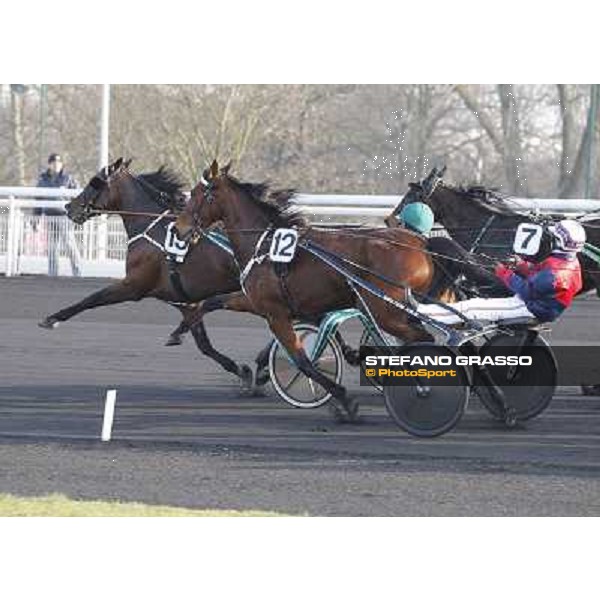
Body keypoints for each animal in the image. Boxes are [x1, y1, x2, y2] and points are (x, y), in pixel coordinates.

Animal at [37, 156, 253, 390]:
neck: (150, 228)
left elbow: (92, 298)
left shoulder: (134, 286)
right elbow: (203, 342)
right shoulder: (185, 301)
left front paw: (52, 319)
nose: (69, 207)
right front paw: (242, 371)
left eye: (95, 182)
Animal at [173, 159, 436, 422]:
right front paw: (179, 331)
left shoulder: (275, 313)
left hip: (383, 310)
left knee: (424, 339)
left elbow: (303, 361)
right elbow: (211, 302)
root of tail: (418, 245)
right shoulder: (259, 303)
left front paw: (345, 401)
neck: (265, 245)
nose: (177, 229)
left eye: (197, 194)